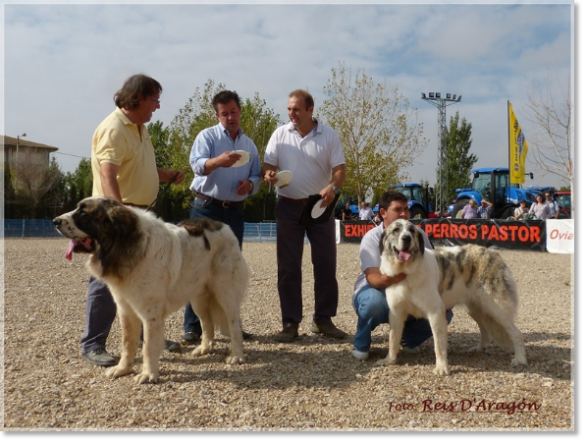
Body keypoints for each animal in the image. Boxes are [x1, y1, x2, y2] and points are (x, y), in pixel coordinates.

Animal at [52, 197, 249, 384]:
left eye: (84, 214)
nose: (55, 221)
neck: (124, 247)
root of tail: (223, 226)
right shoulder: (125, 309)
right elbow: (127, 342)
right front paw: (123, 369)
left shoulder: (150, 313)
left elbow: (148, 346)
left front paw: (148, 374)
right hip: (198, 298)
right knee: (207, 322)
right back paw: (205, 348)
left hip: (226, 293)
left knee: (234, 324)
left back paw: (237, 355)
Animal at [376, 219, 528, 374]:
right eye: (396, 230)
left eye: (411, 231)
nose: (406, 238)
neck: (406, 271)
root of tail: (493, 253)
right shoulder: (396, 313)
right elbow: (393, 339)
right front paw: (389, 360)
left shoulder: (435, 312)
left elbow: (438, 344)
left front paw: (442, 368)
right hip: (475, 309)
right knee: (485, 330)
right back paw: (479, 349)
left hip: (496, 308)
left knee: (516, 333)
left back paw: (520, 359)